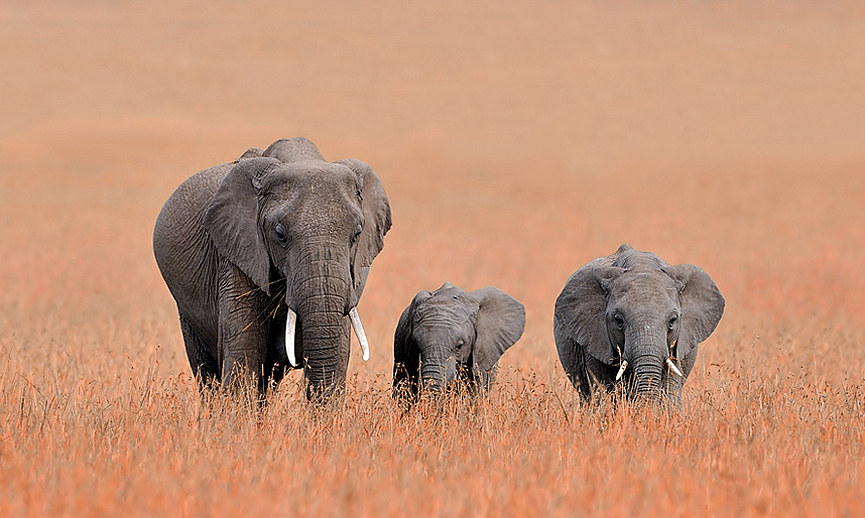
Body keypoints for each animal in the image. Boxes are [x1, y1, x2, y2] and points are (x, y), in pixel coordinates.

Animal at [153, 137, 391, 401]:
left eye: (357, 234)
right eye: (280, 235)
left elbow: (337, 354)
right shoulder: (237, 254)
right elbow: (244, 353)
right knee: (207, 373)